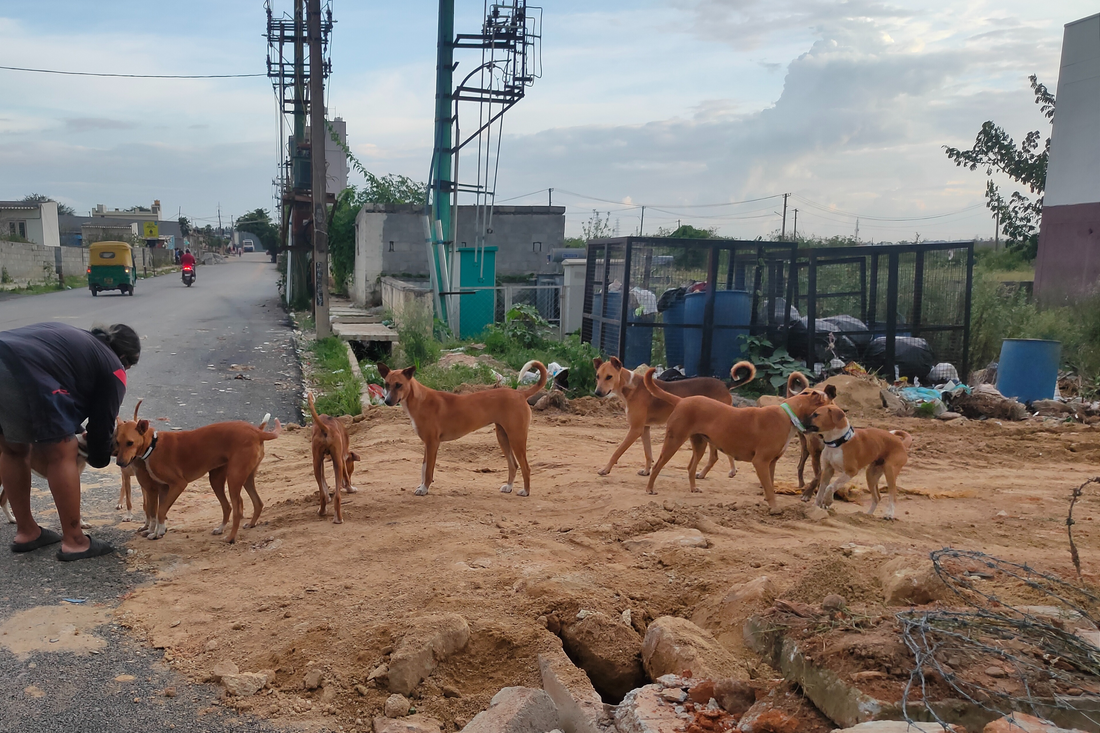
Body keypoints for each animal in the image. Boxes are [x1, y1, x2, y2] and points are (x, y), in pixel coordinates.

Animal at [112, 400, 279, 541]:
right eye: (117, 442)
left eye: (130, 443)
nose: (119, 463)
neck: (153, 445)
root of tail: (257, 432)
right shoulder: (163, 488)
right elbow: (159, 512)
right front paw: (158, 531)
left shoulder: (177, 484)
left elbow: (159, 511)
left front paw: (156, 533)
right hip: (230, 480)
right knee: (247, 504)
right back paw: (235, 527)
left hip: (234, 479)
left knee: (237, 510)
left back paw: (230, 538)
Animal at [305, 391, 360, 521]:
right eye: (352, 470)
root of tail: (326, 427)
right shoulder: (342, 457)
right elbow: (345, 477)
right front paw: (350, 488)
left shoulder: (323, 460)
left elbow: (323, 480)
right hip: (336, 461)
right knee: (336, 495)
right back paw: (334, 516)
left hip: (317, 461)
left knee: (326, 494)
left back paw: (327, 513)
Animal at [378, 356, 550, 493]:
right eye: (386, 384)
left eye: (399, 385)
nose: (387, 401)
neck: (420, 400)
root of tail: (520, 393)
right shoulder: (427, 444)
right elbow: (423, 468)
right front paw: (421, 487)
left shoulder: (432, 443)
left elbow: (428, 471)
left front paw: (424, 489)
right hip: (503, 437)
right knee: (513, 464)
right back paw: (508, 487)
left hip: (516, 438)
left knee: (526, 467)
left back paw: (525, 491)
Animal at [594, 356, 756, 477]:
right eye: (597, 376)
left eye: (609, 377)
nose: (597, 393)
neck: (630, 386)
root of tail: (724, 384)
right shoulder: (644, 428)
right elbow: (648, 454)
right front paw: (646, 471)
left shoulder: (635, 429)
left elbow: (617, 452)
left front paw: (605, 469)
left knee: (714, 456)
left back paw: (715, 472)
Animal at [638, 367, 831, 510]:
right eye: (828, 406)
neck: (788, 414)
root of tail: (681, 400)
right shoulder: (761, 461)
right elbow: (769, 488)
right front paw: (775, 508)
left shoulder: (771, 463)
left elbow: (770, 485)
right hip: (674, 441)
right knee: (657, 465)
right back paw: (649, 489)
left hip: (699, 443)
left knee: (691, 467)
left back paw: (693, 488)